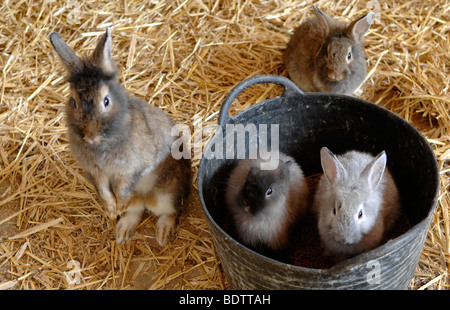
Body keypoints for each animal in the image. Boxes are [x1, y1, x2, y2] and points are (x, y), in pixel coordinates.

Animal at [49, 28, 190, 247]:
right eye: (74, 102)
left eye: (106, 101)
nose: (91, 135)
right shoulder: (95, 171)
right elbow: (104, 191)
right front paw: (112, 209)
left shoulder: (134, 168)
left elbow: (123, 187)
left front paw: (119, 205)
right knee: (135, 211)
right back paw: (122, 231)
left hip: (168, 194)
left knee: (170, 212)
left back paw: (162, 235)